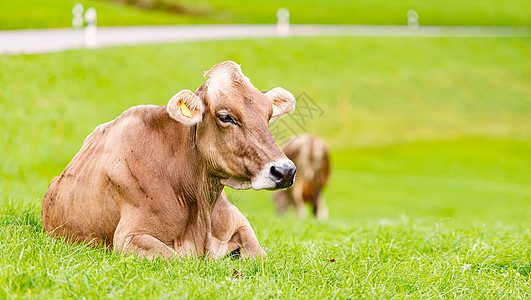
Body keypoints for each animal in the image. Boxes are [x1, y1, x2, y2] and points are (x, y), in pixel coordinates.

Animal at [41, 61, 298, 260]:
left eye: (268, 115)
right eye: (226, 117)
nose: (285, 171)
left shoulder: (239, 223)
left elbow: (259, 255)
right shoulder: (129, 236)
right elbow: (176, 258)